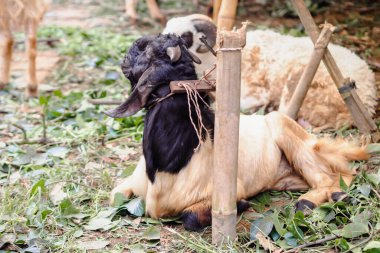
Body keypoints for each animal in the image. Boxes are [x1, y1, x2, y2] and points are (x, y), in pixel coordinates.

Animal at [106, 33, 368, 231]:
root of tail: (318, 143)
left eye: (146, 50)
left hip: (288, 132)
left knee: (331, 177)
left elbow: (189, 217)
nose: (126, 54)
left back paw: (311, 202)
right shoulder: (130, 183)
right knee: (342, 174)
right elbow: (113, 196)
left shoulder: (225, 192)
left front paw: (241, 205)